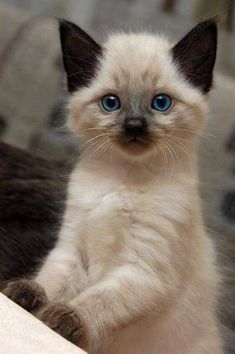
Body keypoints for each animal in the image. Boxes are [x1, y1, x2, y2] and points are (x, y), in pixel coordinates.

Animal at [3, 18, 224, 354]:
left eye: (161, 103)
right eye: (111, 103)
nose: (134, 126)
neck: (121, 178)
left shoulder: (142, 271)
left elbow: (99, 301)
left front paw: (65, 318)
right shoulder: (72, 248)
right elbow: (51, 279)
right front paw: (27, 294)